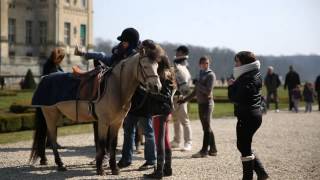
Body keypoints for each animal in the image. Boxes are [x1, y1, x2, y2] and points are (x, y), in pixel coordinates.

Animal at [29, 44, 162, 176]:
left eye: (157, 66)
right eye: (145, 66)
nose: (157, 87)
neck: (116, 88)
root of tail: (44, 78)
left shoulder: (116, 123)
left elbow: (112, 144)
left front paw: (114, 168)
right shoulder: (103, 122)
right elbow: (102, 143)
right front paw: (100, 169)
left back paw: (44, 160)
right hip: (51, 115)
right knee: (52, 138)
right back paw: (60, 164)